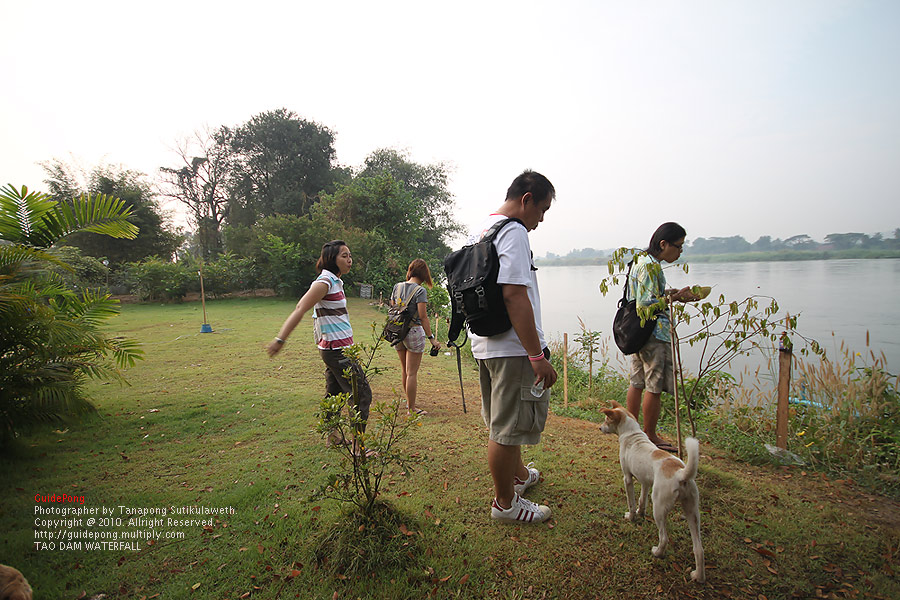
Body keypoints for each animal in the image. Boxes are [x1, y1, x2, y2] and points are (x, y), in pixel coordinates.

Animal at [600, 404, 708, 580]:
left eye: (606, 420)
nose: (600, 427)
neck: (632, 434)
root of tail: (681, 474)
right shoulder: (645, 482)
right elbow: (641, 501)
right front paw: (640, 514)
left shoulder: (627, 478)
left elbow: (631, 503)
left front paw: (631, 518)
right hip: (692, 512)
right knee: (699, 548)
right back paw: (698, 576)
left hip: (659, 506)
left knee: (664, 538)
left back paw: (657, 552)